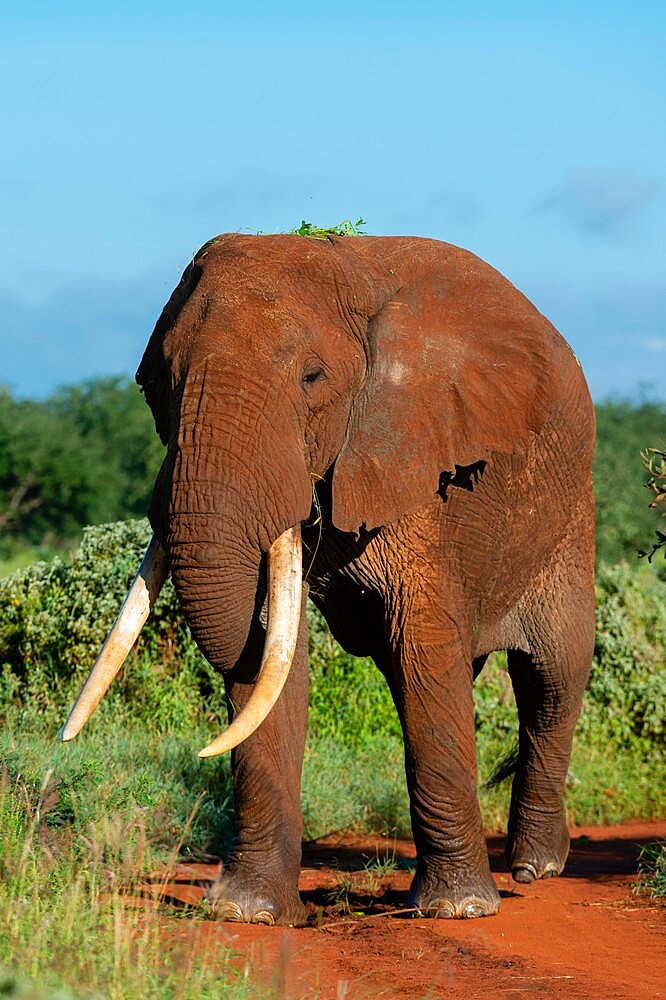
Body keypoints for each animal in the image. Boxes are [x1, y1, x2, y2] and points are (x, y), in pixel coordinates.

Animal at [62, 236, 592, 928]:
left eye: (312, 379)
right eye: (155, 383)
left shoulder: (409, 453)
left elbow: (420, 646)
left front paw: (458, 910)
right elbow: (268, 649)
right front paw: (248, 912)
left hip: (570, 513)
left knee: (553, 675)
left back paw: (535, 868)